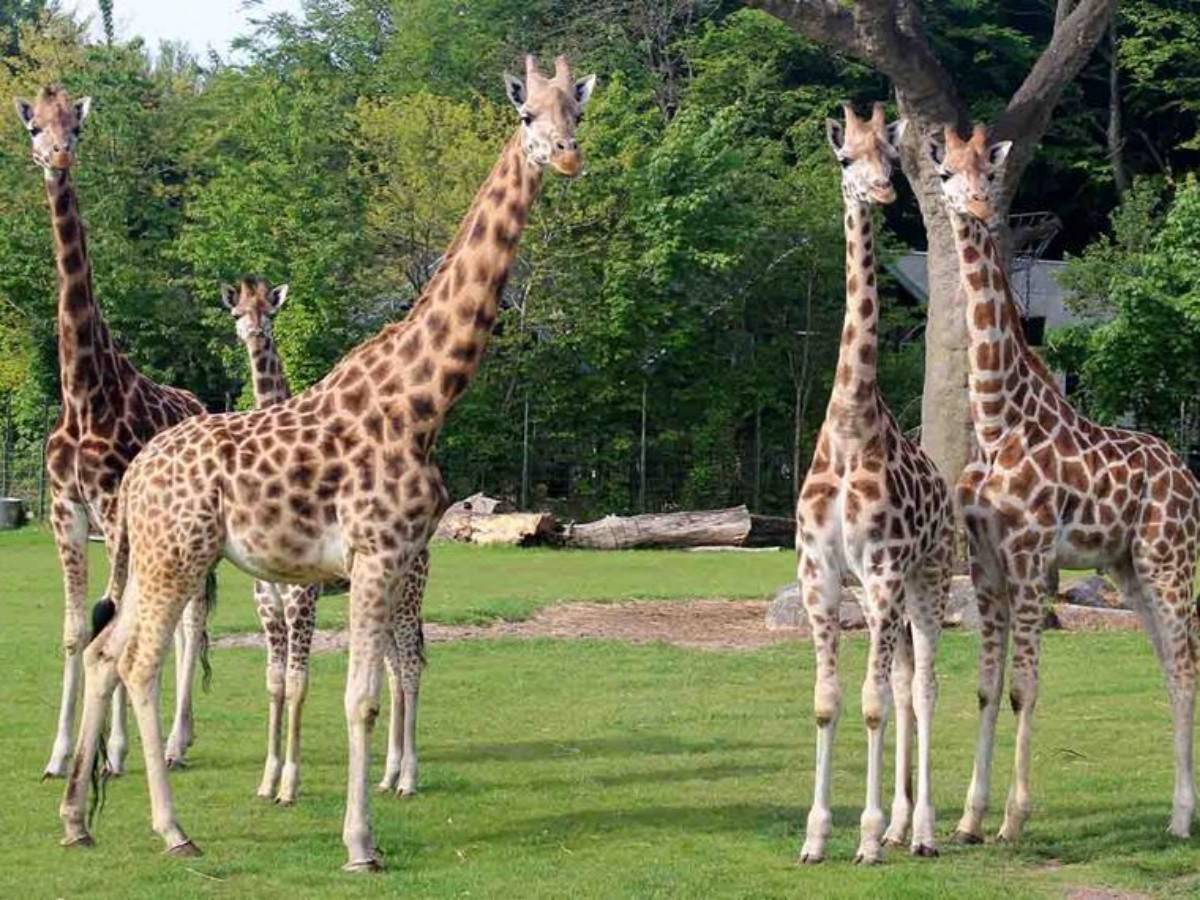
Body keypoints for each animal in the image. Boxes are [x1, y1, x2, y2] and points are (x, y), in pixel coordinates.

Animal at [14, 86, 211, 778]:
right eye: (34, 127)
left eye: (75, 126)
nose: (57, 156)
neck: (83, 394)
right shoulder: (65, 510)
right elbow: (78, 628)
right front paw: (59, 754)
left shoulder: (109, 506)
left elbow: (112, 617)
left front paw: (115, 752)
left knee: (190, 619)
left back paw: (175, 742)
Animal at [58, 55, 596, 870]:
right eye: (526, 115)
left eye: (577, 110)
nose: (566, 155)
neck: (424, 398)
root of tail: (140, 472)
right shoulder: (374, 554)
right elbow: (356, 696)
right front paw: (360, 843)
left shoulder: (388, 559)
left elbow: (360, 683)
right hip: (175, 556)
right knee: (139, 660)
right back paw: (173, 829)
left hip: (157, 557)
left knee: (103, 652)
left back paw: (77, 820)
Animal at [927, 123, 1200, 844]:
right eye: (945, 174)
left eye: (990, 173)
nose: (977, 207)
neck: (996, 419)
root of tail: (1188, 475)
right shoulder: (985, 560)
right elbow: (987, 687)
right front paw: (968, 819)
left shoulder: (1029, 555)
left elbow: (1024, 688)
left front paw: (1012, 820)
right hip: (1127, 567)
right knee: (1168, 664)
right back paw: (1179, 812)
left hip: (1169, 559)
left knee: (1185, 664)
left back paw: (1182, 820)